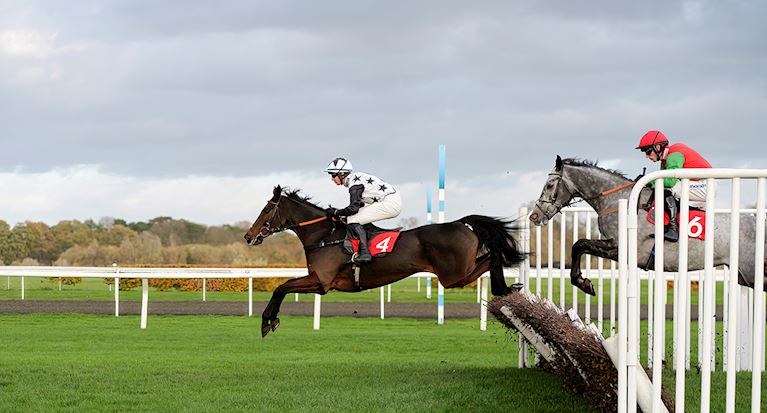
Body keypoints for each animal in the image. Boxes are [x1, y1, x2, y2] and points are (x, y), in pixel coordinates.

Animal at [243, 185, 524, 336]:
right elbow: (283, 287)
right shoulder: (319, 282)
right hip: (456, 273)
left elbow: (281, 287)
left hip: (453, 275)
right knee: (492, 258)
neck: (324, 236)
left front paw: (267, 321)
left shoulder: (321, 282)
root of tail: (462, 223)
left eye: (266, 209)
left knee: (493, 258)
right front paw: (269, 320)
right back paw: (509, 288)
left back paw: (504, 288)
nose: (248, 236)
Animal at [528, 154, 767, 292]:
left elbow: (579, 244)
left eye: (549, 185)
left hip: (751, 272)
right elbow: (580, 245)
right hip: (743, 275)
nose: (534, 216)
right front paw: (583, 282)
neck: (618, 199)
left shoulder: (621, 247)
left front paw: (582, 282)